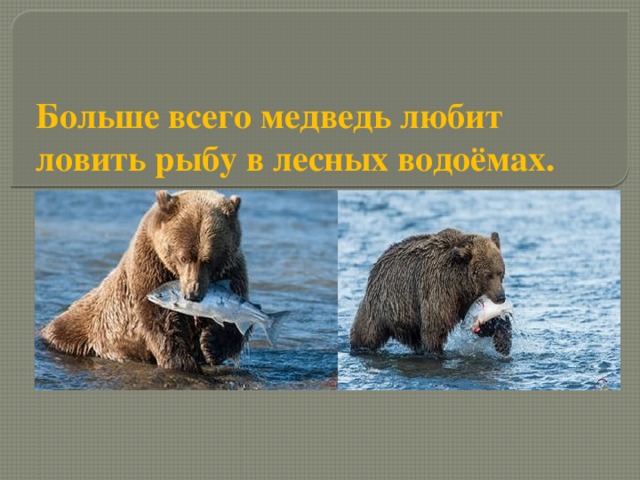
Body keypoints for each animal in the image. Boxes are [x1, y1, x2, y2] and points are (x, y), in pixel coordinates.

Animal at [40, 190, 249, 373]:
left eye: (208, 260)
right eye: (183, 257)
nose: (193, 294)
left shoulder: (232, 270)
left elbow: (235, 324)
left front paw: (210, 344)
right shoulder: (150, 267)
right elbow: (161, 321)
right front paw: (183, 363)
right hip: (84, 326)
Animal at [350, 228, 507, 355]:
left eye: (500, 272)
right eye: (487, 275)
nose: (501, 297)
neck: (459, 283)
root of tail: (377, 263)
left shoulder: (463, 300)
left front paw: (501, 340)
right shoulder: (438, 289)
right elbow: (434, 327)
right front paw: (436, 351)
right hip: (383, 304)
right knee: (366, 333)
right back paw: (359, 346)